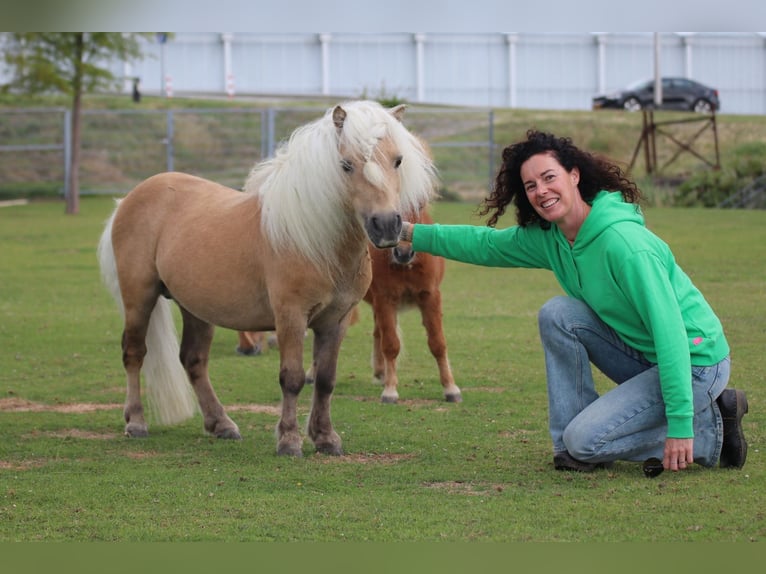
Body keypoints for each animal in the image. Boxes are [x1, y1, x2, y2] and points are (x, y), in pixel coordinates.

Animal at [97, 100, 438, 460]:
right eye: (346, 165)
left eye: (398, 160)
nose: (386, 225)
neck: (317, 241)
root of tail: (130, 198)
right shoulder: (290, 317)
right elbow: (292, 378)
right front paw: (289, 441)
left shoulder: (336, 321)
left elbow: (325, 380)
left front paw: (325, 438)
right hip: (139, 298)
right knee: (134, 353)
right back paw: (136, 422)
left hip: (196, 308)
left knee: (193, 360)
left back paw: (221, 425)